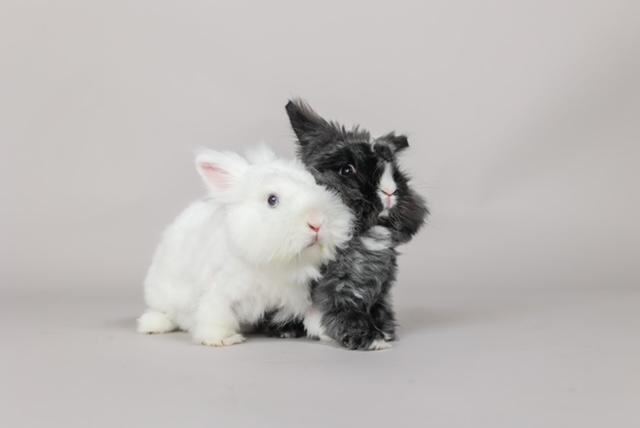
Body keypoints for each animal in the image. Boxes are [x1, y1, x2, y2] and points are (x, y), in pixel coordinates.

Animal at [137, 145, 353, 346]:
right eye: (272, 199)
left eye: (317, 187)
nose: (317, 223)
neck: (273, 263)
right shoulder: (219, 290)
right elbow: (215, 312)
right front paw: (220, 339)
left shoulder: (302, 293)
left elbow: (314, 314)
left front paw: (329, 333)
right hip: (160, 292)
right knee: (162, 312)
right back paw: (152, 325)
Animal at [283, 100, 428, 350]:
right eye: (346, 170)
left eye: (396, 171)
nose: (389, 191)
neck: (366, 234)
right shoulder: (337, 287)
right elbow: (341, 310)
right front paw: (372, 339)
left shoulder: (381, 288)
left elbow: (378, 308)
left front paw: (385, 332)